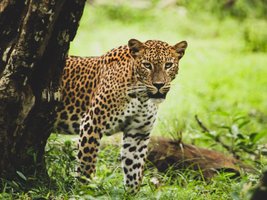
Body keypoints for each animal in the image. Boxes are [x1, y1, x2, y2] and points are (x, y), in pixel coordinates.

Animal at [54, 38, 188, 193]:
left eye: (168, 65)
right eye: (147, 65)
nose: (159, 85)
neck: (141, 97)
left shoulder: (138, 133)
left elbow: (134, 170)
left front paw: (131, 194)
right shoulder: (92, 123)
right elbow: (86, 165)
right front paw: (84, 191)